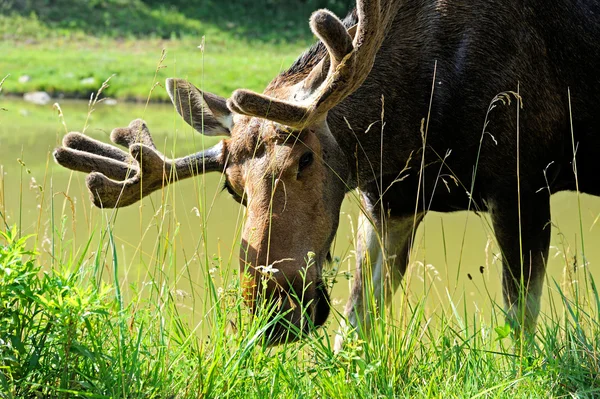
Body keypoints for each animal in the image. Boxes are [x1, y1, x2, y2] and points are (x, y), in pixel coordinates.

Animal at [54, 0, 600, 346]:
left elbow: (520, 327)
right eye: (231, 188)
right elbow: (356, 324)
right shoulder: (390, 199)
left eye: (306, 159)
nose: (271, 312)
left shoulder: (523, 182)